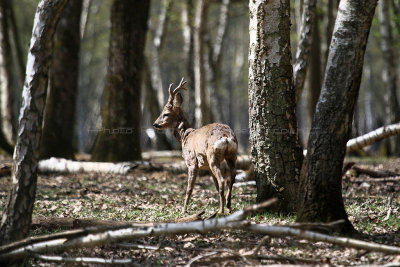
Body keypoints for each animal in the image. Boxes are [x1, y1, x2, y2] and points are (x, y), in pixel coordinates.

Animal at [153, 78, 238, 215]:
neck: (185, 136)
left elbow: (189, 188)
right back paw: (228, 206)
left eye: (165, 113)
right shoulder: (206, 166)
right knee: (232, 176)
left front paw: (183, 210)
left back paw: (220, 210)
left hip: (213, 156)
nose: (155, 124)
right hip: (232, 155)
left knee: (222, 180)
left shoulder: (191, 161)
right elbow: (214, 185)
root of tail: (226, 137)